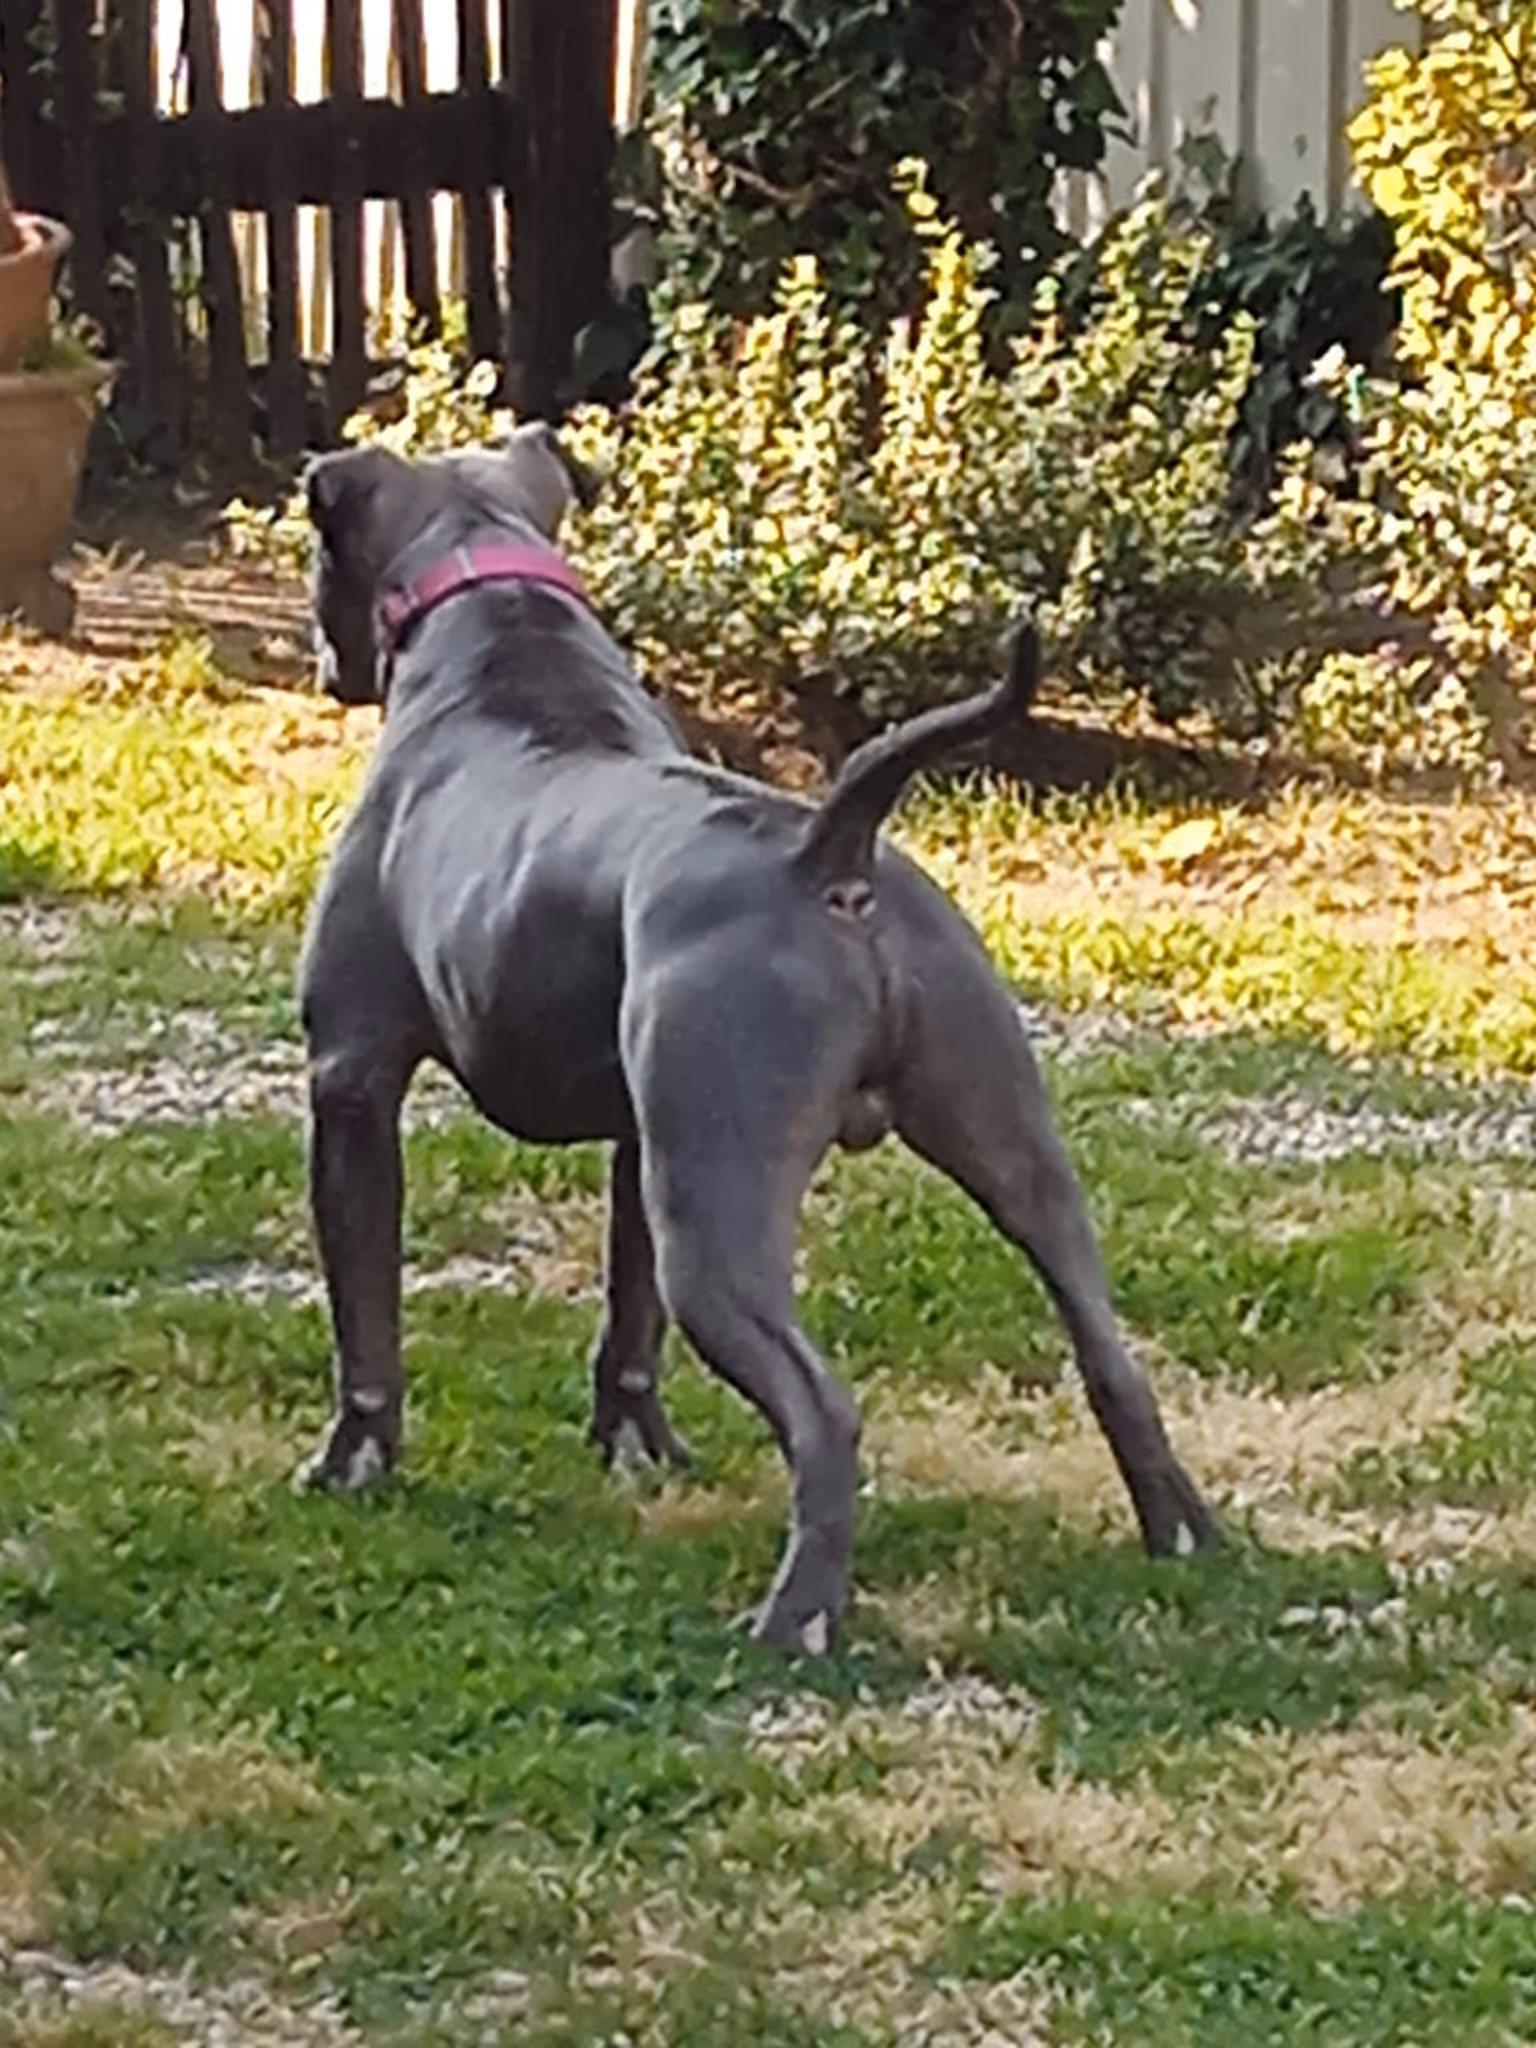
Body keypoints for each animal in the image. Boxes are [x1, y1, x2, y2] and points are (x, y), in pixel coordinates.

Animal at [295, 420, 1219, 1653]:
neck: (500, 625)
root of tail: (830, 848)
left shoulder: (349, 1083)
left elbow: (367, 1318)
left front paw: (355, 1464)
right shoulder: (640, 1141)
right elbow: (628, 1318)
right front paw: (636, 1448)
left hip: (719, 1225)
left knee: (824, 1412)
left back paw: (794, 1620)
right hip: (1009, 1154)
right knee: (1110, 1350)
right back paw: (1180, 1533)